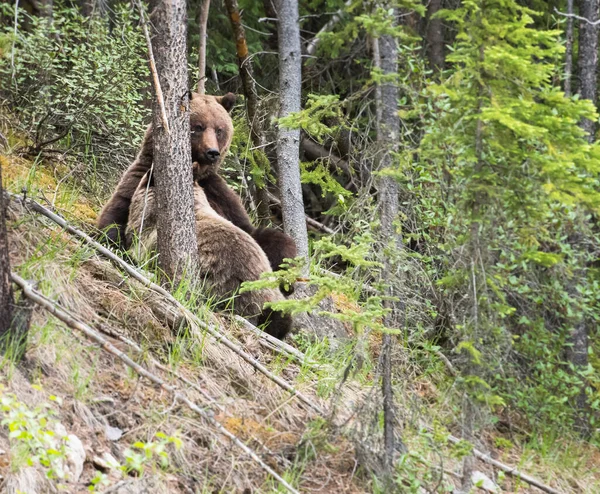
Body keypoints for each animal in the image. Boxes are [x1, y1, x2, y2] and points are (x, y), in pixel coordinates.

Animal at [95, 90, 298, 272]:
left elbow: (251, 230)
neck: (196, 170)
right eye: (199, 126)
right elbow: (113, 222)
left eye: (219, 130)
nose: (212, 152)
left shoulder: (220, 195)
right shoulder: (140, 179)